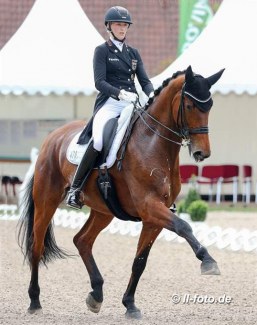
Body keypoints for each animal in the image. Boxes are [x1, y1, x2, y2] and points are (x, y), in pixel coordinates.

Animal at [18, 64, 223, 318]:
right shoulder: (149, 206)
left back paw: (96, 295)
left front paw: (130, 304)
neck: (153, 143)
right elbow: (184, 226)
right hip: (47, 201)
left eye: (210, 105)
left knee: (82, 240)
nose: (201, 153)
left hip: (103, 210)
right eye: (189, 106)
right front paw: (208, 261)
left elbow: (140, 261)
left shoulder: (154, 216)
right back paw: (34, 301)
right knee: (37, 246)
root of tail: (52, 137)